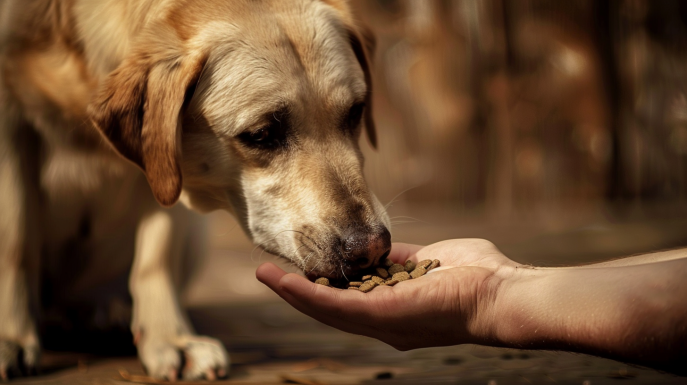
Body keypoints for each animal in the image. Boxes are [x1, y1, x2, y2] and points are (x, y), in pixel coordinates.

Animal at [0, 0, 392, 378]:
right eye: (261, 134)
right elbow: (16, 242)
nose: (371, 249)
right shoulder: (11, 124)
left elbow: (157, 254)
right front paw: (10, 338)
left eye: (355, 112)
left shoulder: (168, 170)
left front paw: (171, 339)